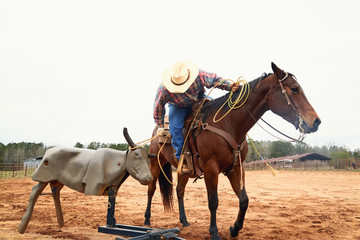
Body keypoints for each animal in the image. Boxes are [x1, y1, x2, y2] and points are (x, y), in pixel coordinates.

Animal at [143, 62, 320, 239]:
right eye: (295, 89)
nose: (316, 122)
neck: (228, 124)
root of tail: (157, 130)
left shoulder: (235, 168)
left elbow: (244, 200)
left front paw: (234, 229)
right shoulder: (211, 169)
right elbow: (213, 202)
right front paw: (214, 232)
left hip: (183, 170)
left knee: (179, 190)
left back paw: (185, 221)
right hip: (155, 162)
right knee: (151, 188)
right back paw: (147, 219)